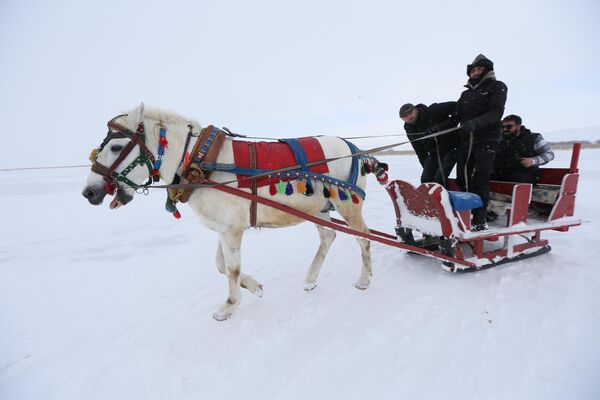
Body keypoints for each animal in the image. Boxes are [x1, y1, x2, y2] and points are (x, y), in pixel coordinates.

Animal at [82, 104, 384, 322]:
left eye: (116, 147)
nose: (89, 192)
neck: (198, 162)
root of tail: (354, 147)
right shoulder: (224, 227)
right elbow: (221, 266)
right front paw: (254, 286)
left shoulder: (231, 230)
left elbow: (231, 269)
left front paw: (229, 306)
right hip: (319, 208)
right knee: (328, 236)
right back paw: (310, 280)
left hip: (348, 206)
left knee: (364, 237)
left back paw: (364, 279)